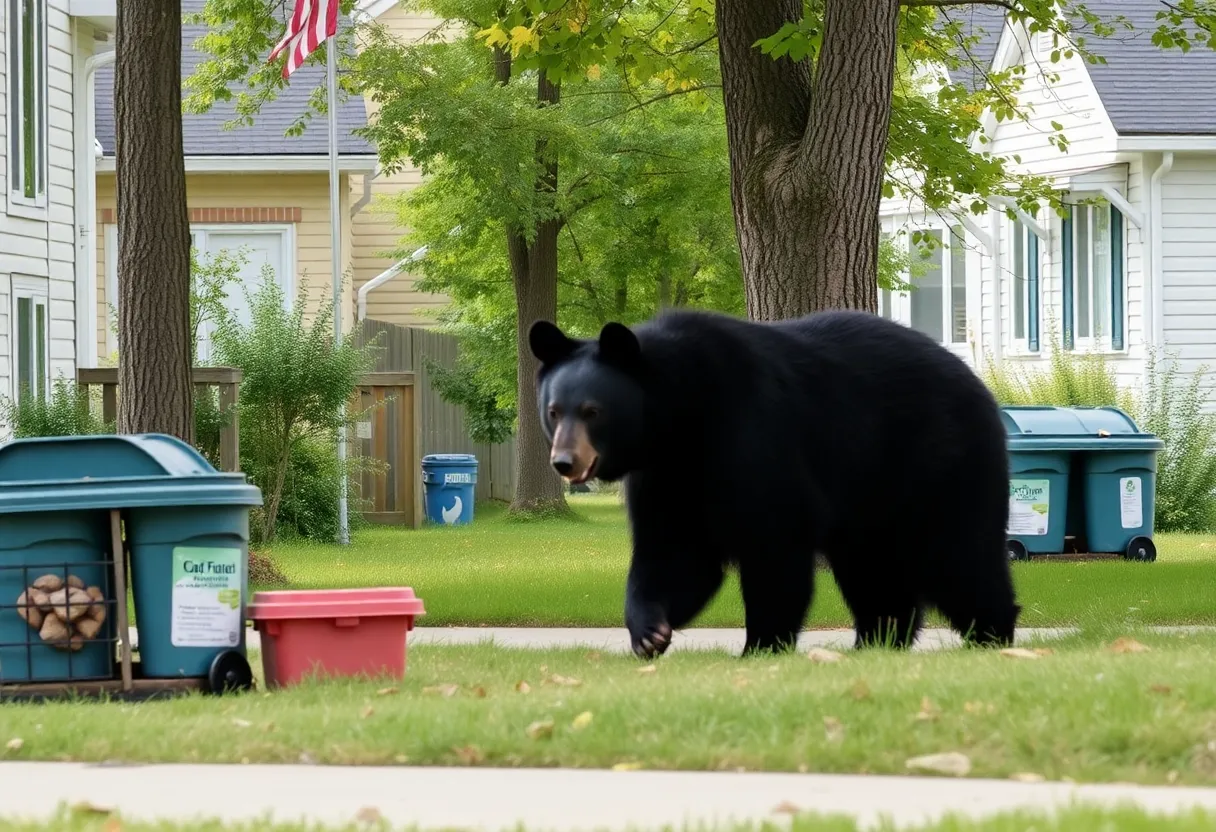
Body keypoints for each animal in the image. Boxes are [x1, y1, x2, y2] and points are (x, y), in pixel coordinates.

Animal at [528, 308, 1021, 659]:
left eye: (592, 411)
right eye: (554, 411)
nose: (564, 462)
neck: (680, 420)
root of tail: (980, 386)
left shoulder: (755, 436)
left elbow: (773, 545)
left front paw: (760, 645)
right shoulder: (667, 476)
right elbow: (673, 553)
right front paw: (649, 631)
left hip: (937, 462)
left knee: (960, 554)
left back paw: (990, 634)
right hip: (871, 501)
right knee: (874, 570)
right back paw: (875, 642)